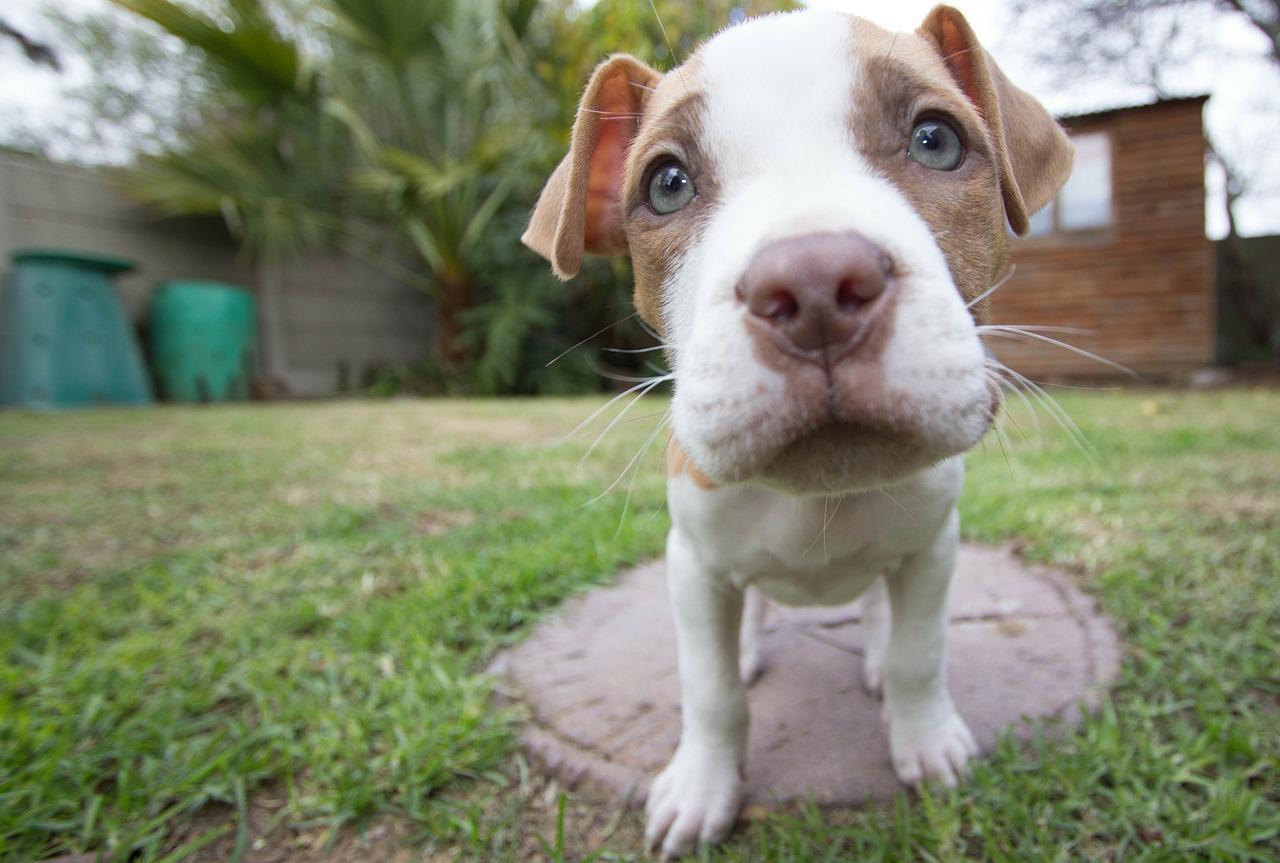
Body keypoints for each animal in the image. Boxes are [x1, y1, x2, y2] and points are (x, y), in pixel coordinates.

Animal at [519, 5, 1070, 855]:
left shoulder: (934, 547)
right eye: (667, 184)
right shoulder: (693, 562)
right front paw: (703, 786)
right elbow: (710, 689)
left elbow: (919, 653)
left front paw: (924, 738)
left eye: (936, 140)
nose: (814, 286)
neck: (818, 495)